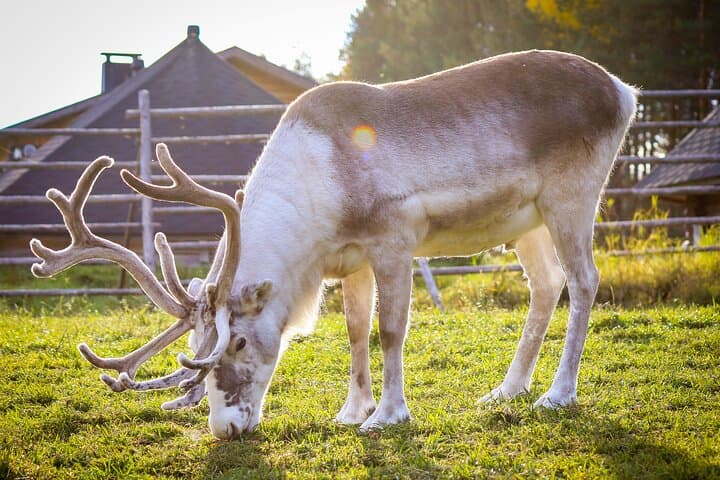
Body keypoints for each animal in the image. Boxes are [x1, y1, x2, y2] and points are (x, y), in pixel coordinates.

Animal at [30, 50, 636, 440]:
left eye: (239, 341)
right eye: (198, 348)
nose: (226, 429)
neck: (319, 191)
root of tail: (624, 91)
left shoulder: (394, 241)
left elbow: (390, 330)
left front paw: (387, 416)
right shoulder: (351, 260)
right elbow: (354, 332)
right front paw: (351, 410)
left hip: (571, 197)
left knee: (585, 281)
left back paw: (557, 394)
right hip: (526, 220)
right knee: (546, 286)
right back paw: (506, 390)